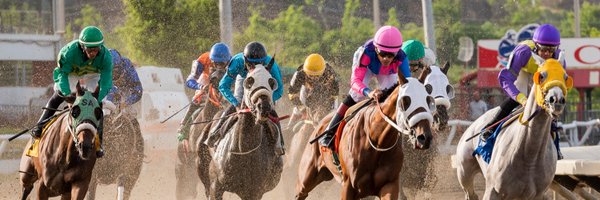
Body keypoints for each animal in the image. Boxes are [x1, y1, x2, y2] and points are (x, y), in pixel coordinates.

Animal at [292, 72, 434, 200]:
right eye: (405, 101)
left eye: (428, 100)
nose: (424, 137)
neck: (377, 142)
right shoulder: (348, 186)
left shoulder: (389, 185)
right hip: (306, 177)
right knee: (301, 193)